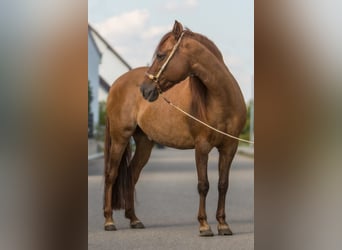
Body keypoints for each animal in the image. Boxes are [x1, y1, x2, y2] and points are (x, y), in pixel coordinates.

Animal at [103, 20, 247, 236]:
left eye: (161, 55)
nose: (145, 89)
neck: (221, 101)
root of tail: (116, 84)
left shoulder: (230, 148)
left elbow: (223, 184)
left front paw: (223, 225)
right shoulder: (202, 147)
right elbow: (203, 185)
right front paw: (204, 226)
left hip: (144, 143)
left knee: (132, 174)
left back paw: (134, 220)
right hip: (120, 138)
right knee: (111, 175)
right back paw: (109, 221)